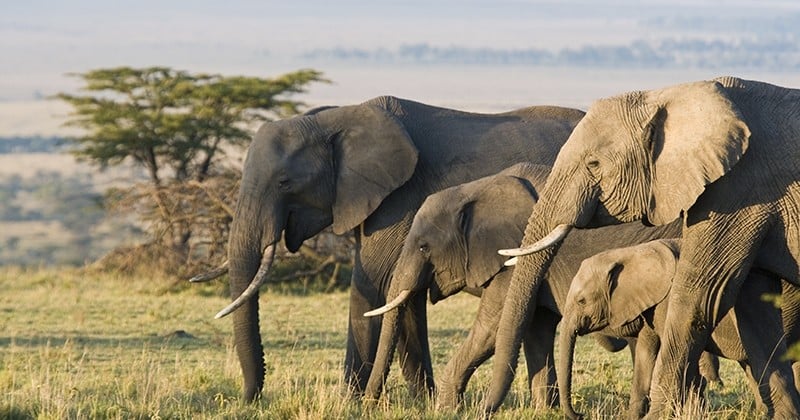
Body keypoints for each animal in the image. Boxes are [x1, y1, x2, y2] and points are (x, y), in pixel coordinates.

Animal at [198, 97, 588, 402]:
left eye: (284, 182)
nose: (249, 399)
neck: (335, 119)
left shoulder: (398, 200)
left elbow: (374, 285)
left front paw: (350, 403)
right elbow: (404, 297)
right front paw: (420, 402)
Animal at [360, 161, 684, 406]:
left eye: (424, 247)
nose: (369, 404)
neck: (477, 188)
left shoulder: (513, 258)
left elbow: (493, 327)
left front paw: (447, 409)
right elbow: (536, 329)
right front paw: (544, 410)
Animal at [556, 238, 800, 418]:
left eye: (581, 301)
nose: (580, 415)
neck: (631, 253)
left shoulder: (669, 300)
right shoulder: (651, 303)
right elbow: (646, 352)